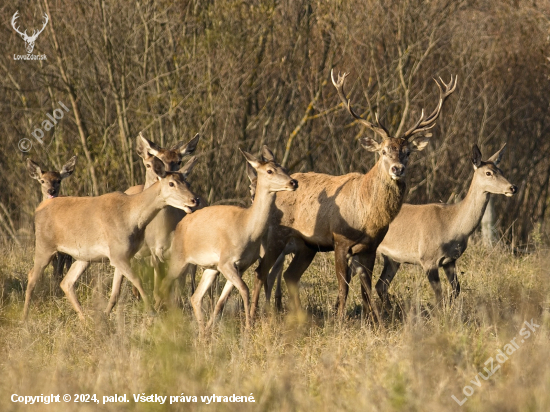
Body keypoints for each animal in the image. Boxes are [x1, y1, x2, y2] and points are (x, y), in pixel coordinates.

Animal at [24, 156, 201, 320]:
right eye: (171, 183)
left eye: (187, 182)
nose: (195, 199)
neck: (132, 218)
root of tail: (38, 209)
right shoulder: (118, 254)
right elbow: (138, 281)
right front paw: (152, 314)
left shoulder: (122, 255)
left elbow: (116, 291)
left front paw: (105, 316)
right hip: (44, 245)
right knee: (32, 276)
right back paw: (24, 318)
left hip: (84, 257)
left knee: (67, 282)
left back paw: (84, 319)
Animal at [157, 146, 300, 334]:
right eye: (270, 170)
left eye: (284, 168)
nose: (293, 182)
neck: (246, 229)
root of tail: (180, 225)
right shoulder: (226, 261)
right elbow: (245, 289)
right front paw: (248, 328)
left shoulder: (240, 265)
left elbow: (223, 300)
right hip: (179, 258)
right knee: (165, 285)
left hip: (210, 268)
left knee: (195, 297)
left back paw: (202, 333)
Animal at [248, 71, 460, 320]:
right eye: (383, 151)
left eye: (407, 152)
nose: (397, 168)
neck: (366, 216)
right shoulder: (340, 241)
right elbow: (344, 287)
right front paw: (340, 321)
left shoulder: (371, 247)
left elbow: (366, 289)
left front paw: (374, 321)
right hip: (276, 234)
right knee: (261, 271)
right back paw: (253, 316)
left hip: (306, 245)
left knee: (290, 275)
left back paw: (300, 318)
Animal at [378, 143, 520, 308]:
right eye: (488, 173)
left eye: (501, 170)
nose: (513, 187)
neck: (452, 226)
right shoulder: (427, 258)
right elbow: (439, 295)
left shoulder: (450, 260)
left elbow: (456, 289)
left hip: (392, 259)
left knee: (381, 285)